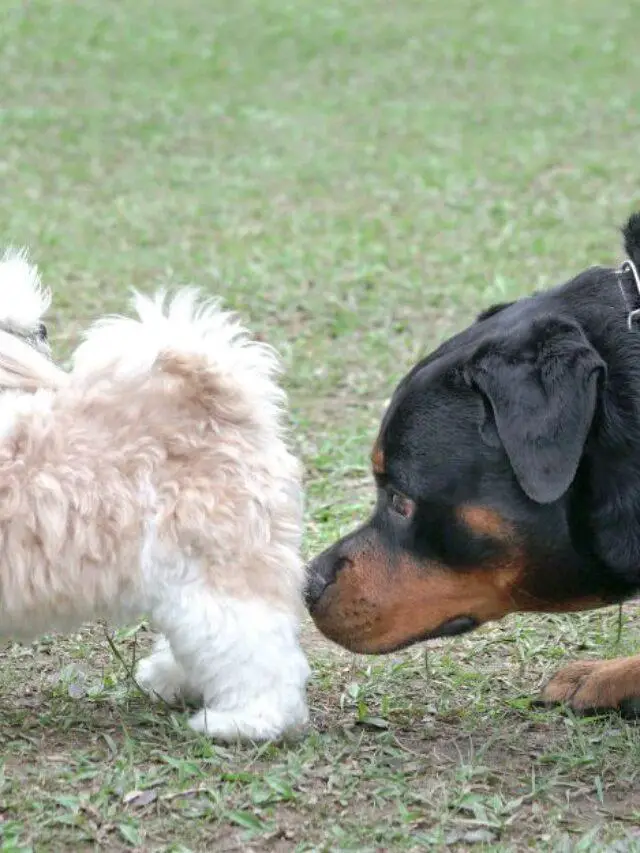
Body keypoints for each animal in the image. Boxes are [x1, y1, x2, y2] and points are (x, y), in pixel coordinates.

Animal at [0, 251, 310, 740]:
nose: (42, 331)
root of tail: (220, 403)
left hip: (214, 572)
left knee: (255, 650)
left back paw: (243, 720)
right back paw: (173, 681)